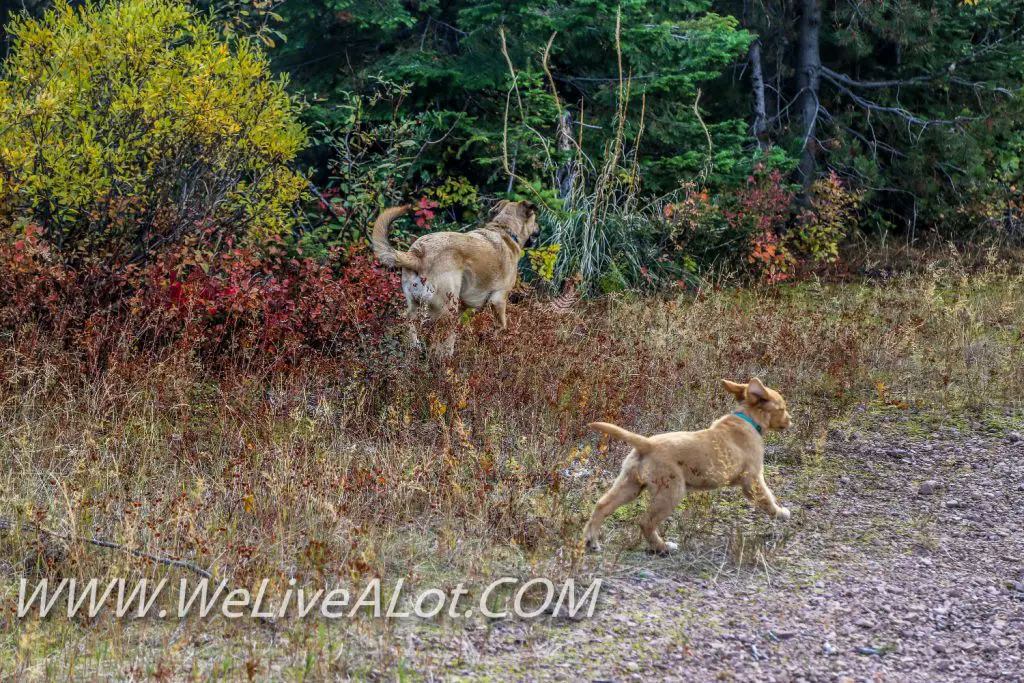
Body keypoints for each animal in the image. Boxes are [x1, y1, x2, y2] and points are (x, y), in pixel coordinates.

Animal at [370, 200, 540, 356]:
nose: (539, 229)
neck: (504, 230)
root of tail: (418, 255)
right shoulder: (498, 299)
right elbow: (502, 326)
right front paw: (487, 337)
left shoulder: (465, 306)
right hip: (447, 308)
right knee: (440, 339)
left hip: (416, 303)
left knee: (409, 320)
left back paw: (416, 346)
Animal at [585, 376, 790, 557]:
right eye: (782, 408)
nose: (790, 420)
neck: (748, 418)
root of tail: (647, 444)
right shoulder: (752, 479)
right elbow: (767, 498)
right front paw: (781, 513)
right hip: (671, 491)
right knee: (645, 521)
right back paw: (662, 547)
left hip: (630, 485)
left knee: (602, 505)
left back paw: (591, 542)